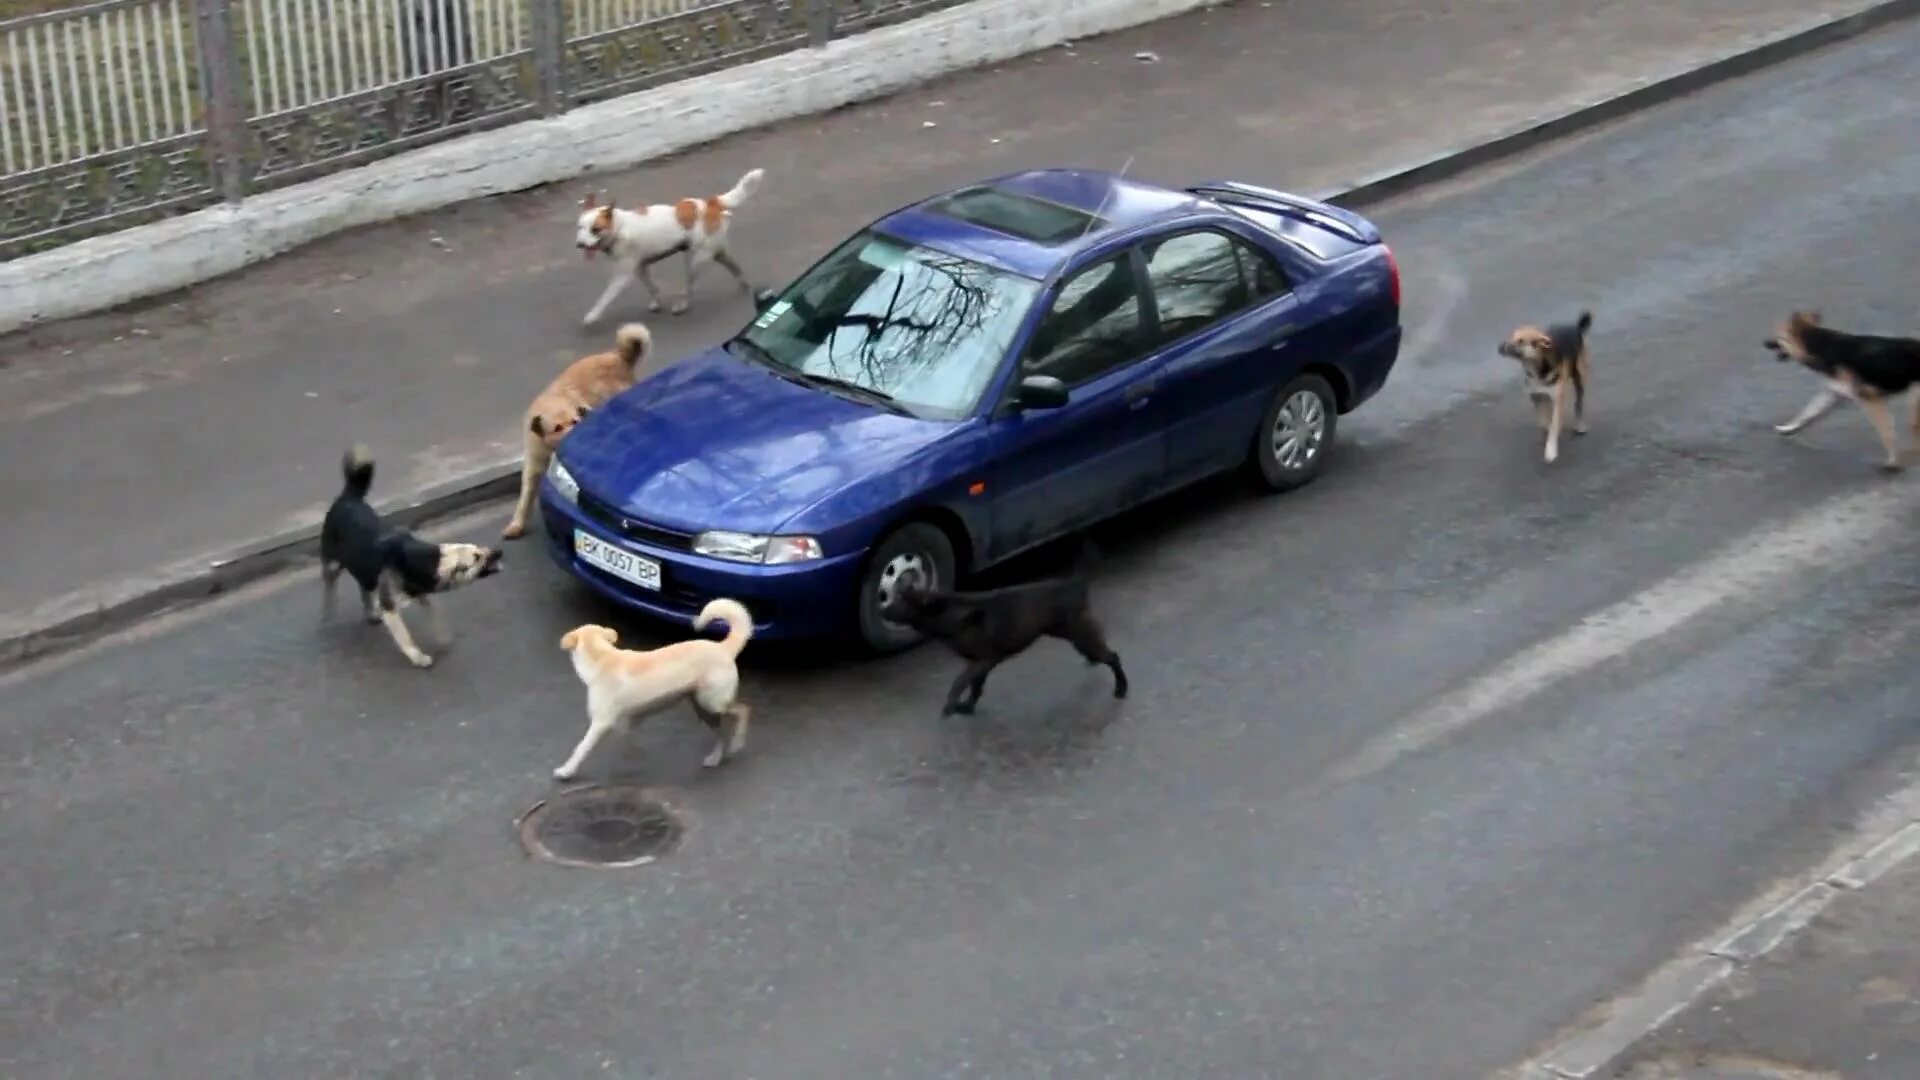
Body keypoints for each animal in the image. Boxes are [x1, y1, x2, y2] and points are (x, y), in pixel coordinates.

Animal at [320, 443, 503, 664]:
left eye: (479, 550)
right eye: (476, 558)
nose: (499, 551)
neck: (430, 561)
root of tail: (348, 497)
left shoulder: (420, 594)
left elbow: (436, 616)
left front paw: (444, 638)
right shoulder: (391, 608)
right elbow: (405, 637)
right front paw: (418, 657)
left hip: (363, 569)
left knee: (364, 588)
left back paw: (370, 613)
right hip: (333, 564)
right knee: (330, 588)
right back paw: (328, 615)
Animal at [503, 319, 652, 538]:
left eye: (574, 421)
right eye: (557, 428)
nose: (572, 436)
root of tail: (617, 356)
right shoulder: (534, 461)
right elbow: (526, 494)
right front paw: (517, 524)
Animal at [552, 591, 752, 776]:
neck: (601, 657)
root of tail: (723, 647)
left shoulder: (601, 723)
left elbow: (581, 748)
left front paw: (566, 770)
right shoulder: (630, 720)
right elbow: (629, 737)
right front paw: (633, 755)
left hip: (712, 703)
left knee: (743, 710)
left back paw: (738, 741)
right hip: (702, 707)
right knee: (721, 733)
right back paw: (715, 758)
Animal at [576, 166, 764, 320]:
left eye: (595, 229)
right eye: (580, 227)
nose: (579, 245)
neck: (619, 226)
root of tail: (710, 203)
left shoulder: (622, 276)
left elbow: (605, 297)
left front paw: (593, 315)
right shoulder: (640, 268)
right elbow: (652, 287)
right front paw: (656, 302)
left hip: (695, 261)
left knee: (689, 288)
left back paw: (682, 304)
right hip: (716, 252)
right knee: (735, 267)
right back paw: (744, 285)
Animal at [879, 538, 1128, 714]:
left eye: (901, 600)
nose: (881, 608)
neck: (948, 612)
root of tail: (1075, 583)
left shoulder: (984, 659)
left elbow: (961, 680)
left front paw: (951, 704)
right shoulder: (980, 664)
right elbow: (975, 687)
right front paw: (966, 707)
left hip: (1081, 634)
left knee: (1113, 657)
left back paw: (1121, 688)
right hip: (1076, 637)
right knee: (1101, 654)